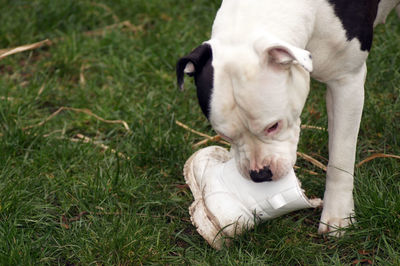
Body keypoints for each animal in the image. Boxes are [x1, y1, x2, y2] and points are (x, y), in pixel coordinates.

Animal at [176, 0, 400, 237]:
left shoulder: (346, 81)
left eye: (273, 126)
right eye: (224, 136)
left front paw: (338, 216)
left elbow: (340, 157)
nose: (260, 174)